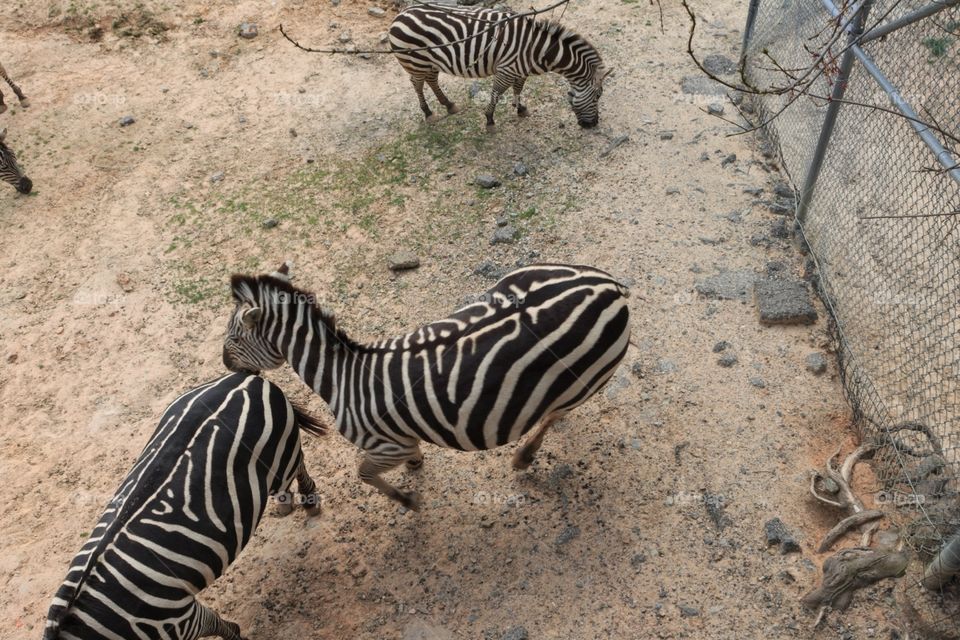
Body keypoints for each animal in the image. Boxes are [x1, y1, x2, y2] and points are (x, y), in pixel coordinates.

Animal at [43, 372, 325, 640]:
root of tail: (244, 378)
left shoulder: (178, 621)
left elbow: (215, 624)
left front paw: (236, 633)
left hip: (281, 458)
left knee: (298, 467)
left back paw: (309, 502)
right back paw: (285, 505)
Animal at [223, 263, 631, 511]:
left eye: (234, 338)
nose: (225, 364)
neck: (342, 377)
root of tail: (610, 284)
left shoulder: (386, 446)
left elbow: (364, 473)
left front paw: (407, 500)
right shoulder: (397, 442)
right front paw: (416, 466)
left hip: (590, 374)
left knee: (555, 415)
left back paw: (524, 456)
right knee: (557, 412)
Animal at [388, 4, 611, 128]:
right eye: (597, 97)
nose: (592, 125)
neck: (539, 50)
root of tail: (401, 14)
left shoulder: (520, 71)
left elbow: (518, 89)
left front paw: (520, 108)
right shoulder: (506, 70)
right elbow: (497, 93)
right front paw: (489, 120)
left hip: (430, 62)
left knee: (431, 80)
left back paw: (449, 104)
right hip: (416, 61)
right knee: (417, 83)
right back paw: (428, 113)